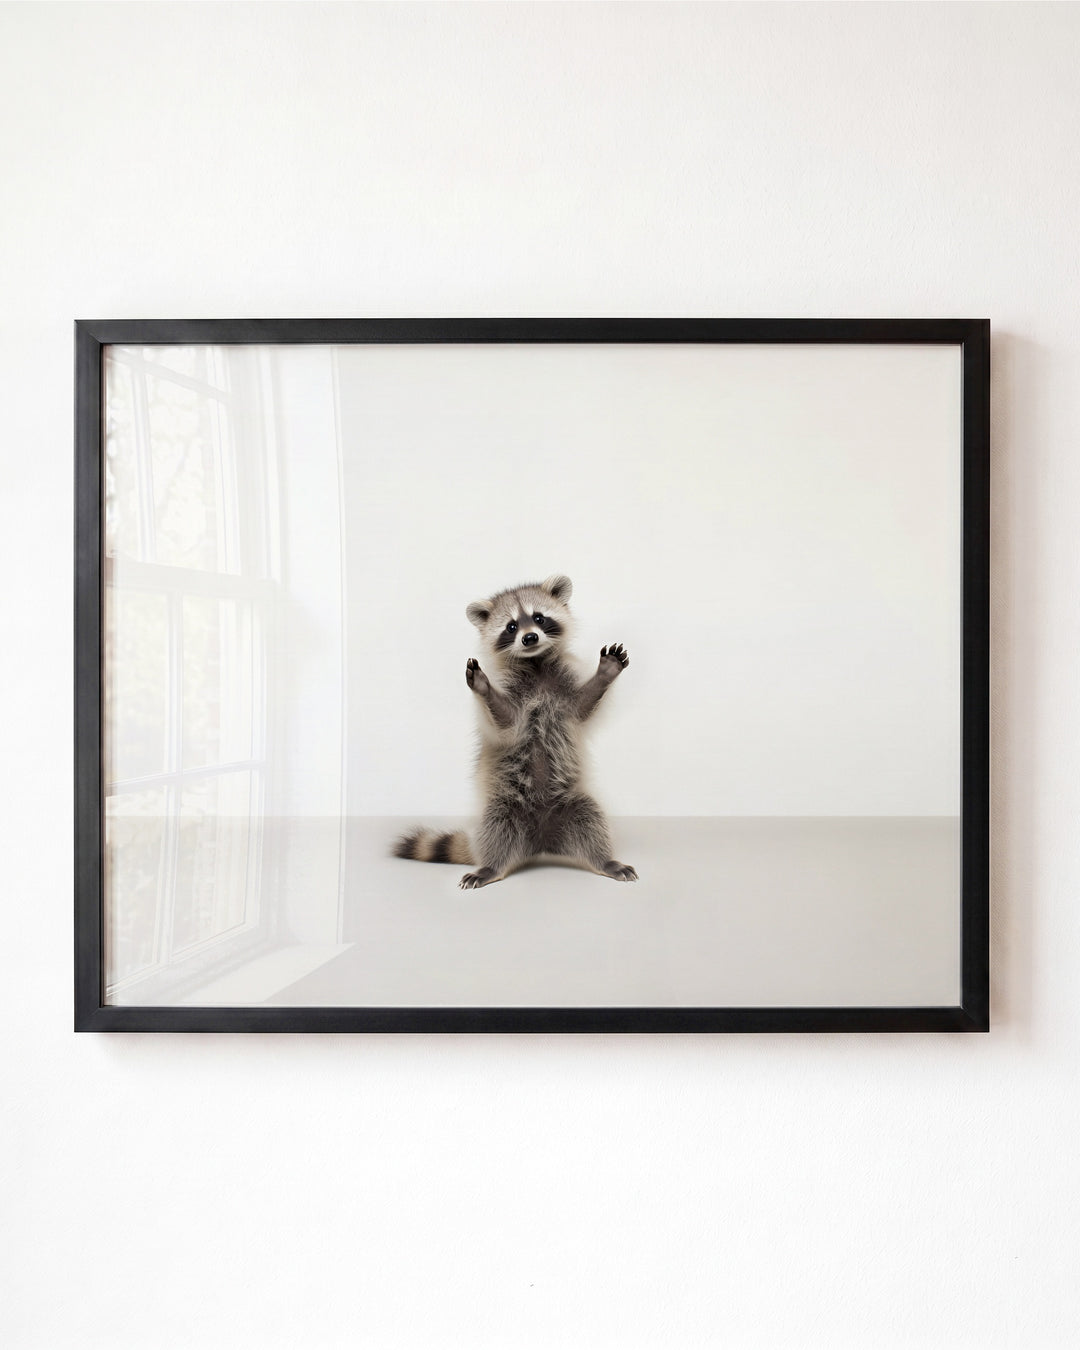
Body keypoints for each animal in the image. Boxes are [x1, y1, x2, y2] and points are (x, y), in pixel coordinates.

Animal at [394, 574, 637, 889]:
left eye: (539, 618)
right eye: (511, 626)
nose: (530, 637)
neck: (536, 663)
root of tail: (542, 843)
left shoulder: (564, 690)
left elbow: (582, 708)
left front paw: (604, 674)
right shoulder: (512, 694)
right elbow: (506, 723)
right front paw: (484, 688)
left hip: (572, 803)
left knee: (591, 818)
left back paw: (605, 860)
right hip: (504, 806)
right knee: (496, 828)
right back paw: (491, 867)